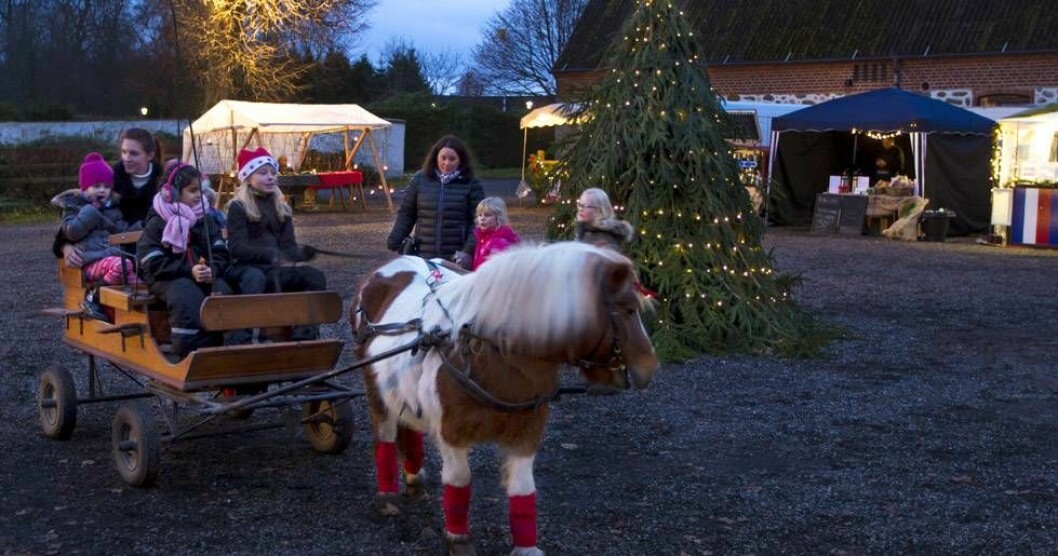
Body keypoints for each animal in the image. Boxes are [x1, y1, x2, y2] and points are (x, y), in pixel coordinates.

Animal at [351, 244, 655, 556]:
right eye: (629, 309)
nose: (649, 367)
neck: (488, 354)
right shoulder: (452, 433)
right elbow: (459, 481)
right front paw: (459, 540)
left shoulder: (526, 433)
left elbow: (523, 489)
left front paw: (526, 548)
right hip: (376, 391)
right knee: (385, 437)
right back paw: (387, 496)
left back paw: (414, 477)